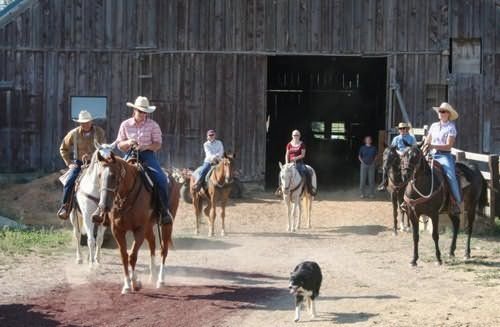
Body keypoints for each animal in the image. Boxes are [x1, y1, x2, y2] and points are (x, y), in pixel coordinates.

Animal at [93, 146, 181, 294]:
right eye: (99, 175)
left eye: (113, 176)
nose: (104, 206)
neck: (125, 197)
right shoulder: (118, 230)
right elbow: (124, 256)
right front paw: (127, 285)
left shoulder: (139, 229)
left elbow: (132, 256)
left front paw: (135, 283)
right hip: (149, 226)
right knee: (152, 243)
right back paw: (152, 276)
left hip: (167, 224)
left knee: (163, 250)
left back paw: (160, 280)